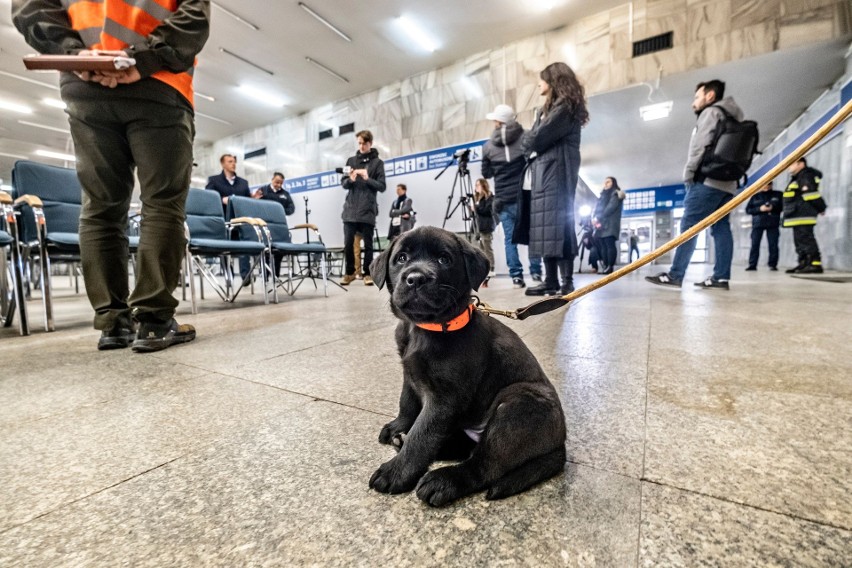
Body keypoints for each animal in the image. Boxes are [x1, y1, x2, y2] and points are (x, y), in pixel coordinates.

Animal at [368, 226, 564, 506]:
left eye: (444, 259)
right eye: (401, 258)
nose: (416, 279)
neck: (425, 328)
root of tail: (561, 444)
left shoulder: (445, 398)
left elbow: (422, 434)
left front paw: (396, 471)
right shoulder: (410, 372)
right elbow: (407, 402)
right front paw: (399, 426)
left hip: (516, 406)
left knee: (485, 464)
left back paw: (444, 481)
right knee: (467, 448)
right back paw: (405, 441)